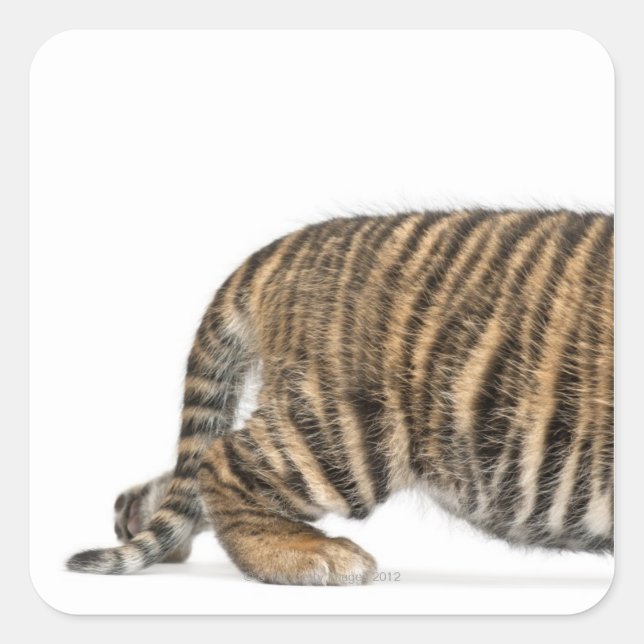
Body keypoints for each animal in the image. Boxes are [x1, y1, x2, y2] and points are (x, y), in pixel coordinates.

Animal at [66, 208, 614, 585]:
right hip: (348, 431)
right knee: (222, 461)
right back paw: (309, 555)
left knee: (188, 474)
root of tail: (280, 250)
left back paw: (138, 518)